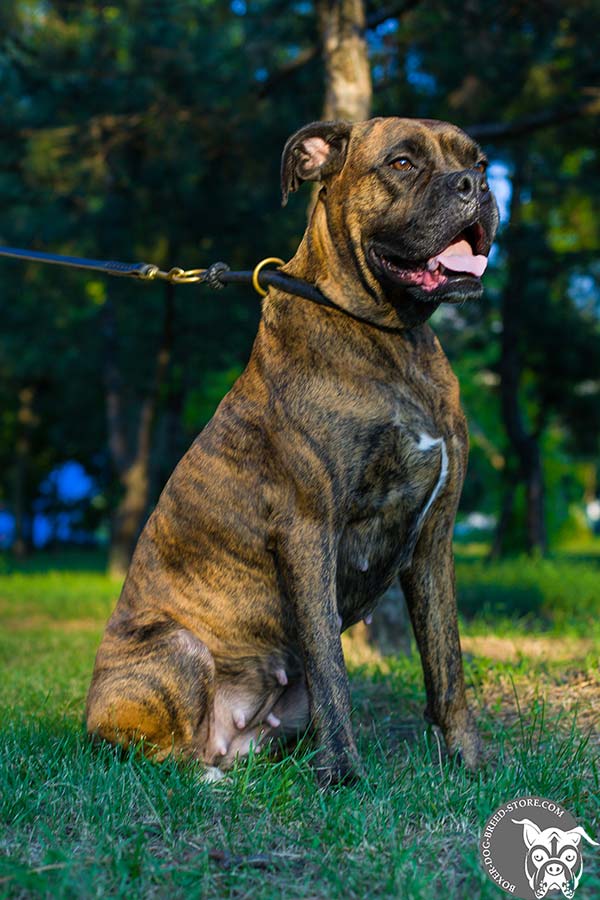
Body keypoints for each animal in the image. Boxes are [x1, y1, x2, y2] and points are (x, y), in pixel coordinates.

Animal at [86, 116, 500, 784]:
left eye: (479, 161)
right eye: (403, 162)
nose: (476, 185)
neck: (392, 336)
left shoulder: (434, 541)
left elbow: (448, 667)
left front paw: (470, 761)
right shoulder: (309, 530)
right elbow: (332, 668)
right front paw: (344, 774)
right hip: (176, 649)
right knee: (156, 758)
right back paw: (210, 782)